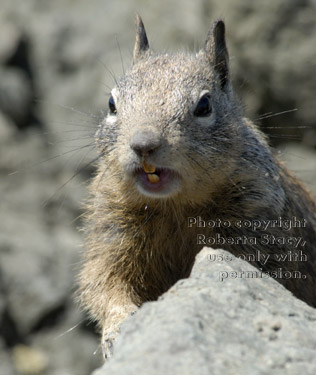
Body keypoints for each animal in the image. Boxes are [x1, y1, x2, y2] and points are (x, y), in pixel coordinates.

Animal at [78, 16, 316, 360]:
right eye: (111, 103)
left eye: (204, 105)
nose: (143, 144)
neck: (174, 206)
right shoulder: (111, 232)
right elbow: (103, 282)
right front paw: (118, 328)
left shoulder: (259, 222)